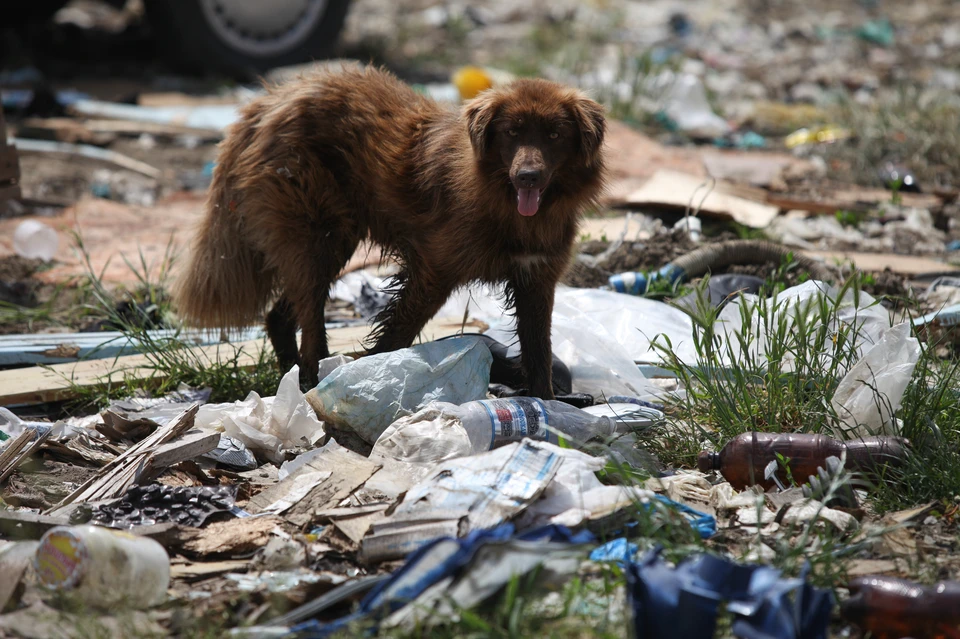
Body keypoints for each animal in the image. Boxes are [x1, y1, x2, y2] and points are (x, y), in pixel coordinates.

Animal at [174, 63, 608, 396]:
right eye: (512, 132)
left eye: (554, 134)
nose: (527, 177)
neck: (507, 207)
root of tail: (270, 99)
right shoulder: (432, 274)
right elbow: (397, 332)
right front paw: (371, 376)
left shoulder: (536, 280)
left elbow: (538, 353)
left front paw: (546, 405)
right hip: (319, 238)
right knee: (310, 323)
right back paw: (311, 380)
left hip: (326, 242)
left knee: (279, 316)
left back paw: (293, 377)